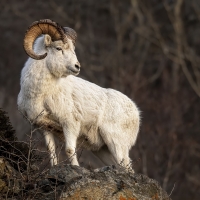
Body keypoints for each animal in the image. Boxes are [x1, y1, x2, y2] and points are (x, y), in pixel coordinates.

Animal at [18, 19, 141, 170]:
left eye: (73, 50)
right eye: (58, 48)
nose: (77, 66)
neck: (40, 95)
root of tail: (135, 112)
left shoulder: (70, 125)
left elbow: (69, 150)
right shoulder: (44, 128)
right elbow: (51, 152)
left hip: (116, 144)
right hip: (103, 150)